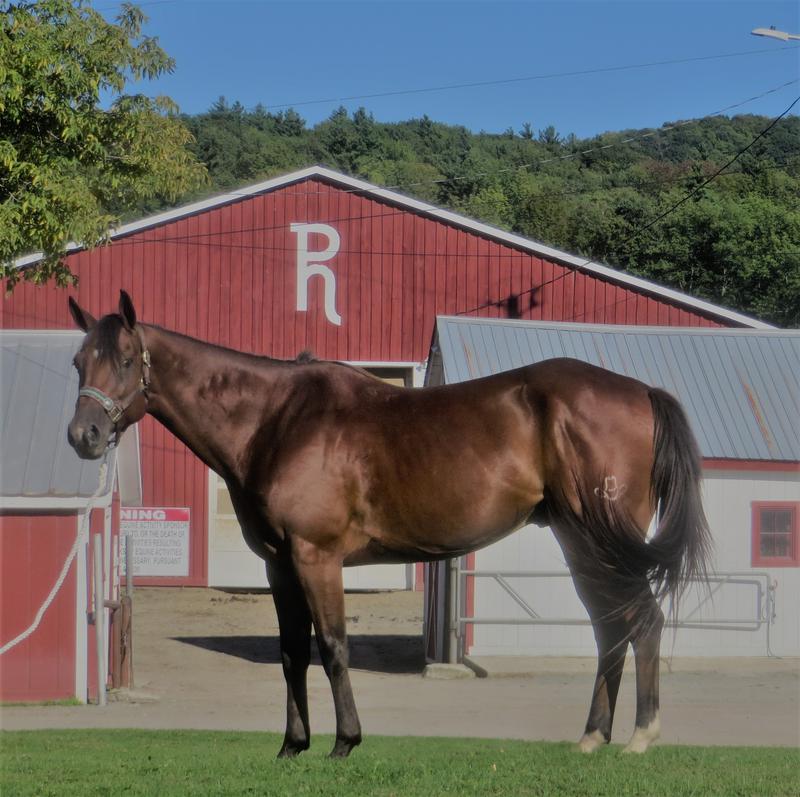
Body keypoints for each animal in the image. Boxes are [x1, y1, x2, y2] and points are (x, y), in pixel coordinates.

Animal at [67, 291, 711, 758]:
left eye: (124, 359)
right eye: (78, 361)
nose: (83, 436)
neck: (275, 419)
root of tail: (640, 391)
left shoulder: (316, 556)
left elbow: (332, 647)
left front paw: (344, 743)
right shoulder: (279, 565)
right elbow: (290, 653)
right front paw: (292, 746)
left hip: (605, 542)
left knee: (641, 622)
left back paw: (640, 737)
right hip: (580, 541)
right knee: (611, 629)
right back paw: (593, 737)